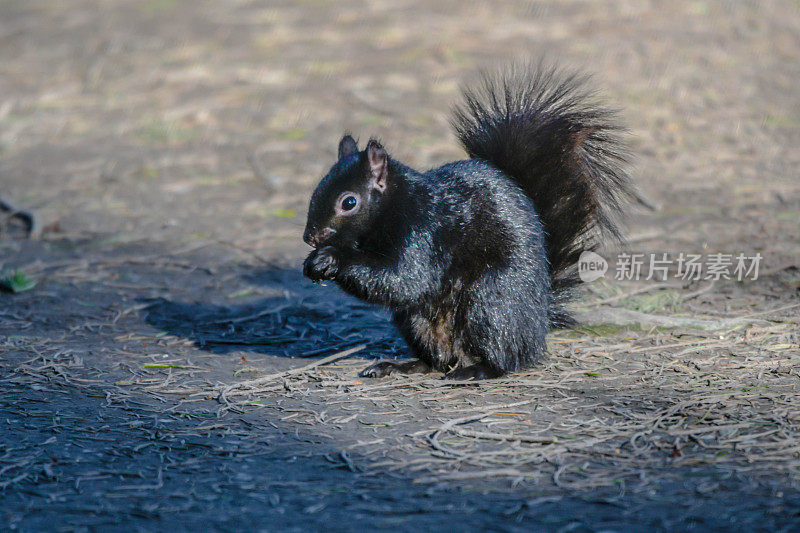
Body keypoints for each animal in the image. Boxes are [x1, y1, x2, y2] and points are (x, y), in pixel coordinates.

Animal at [300, 62, 636, 378]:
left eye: (349, 202)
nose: (310, 238)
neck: (395, 205)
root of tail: (539, 318)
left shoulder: (425, 231)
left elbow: (404, 278)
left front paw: (331, 258)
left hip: (490, 299)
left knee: (505, 357)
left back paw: (478, 370)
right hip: (416, 321)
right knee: (437, 360)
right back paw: (400, 366)